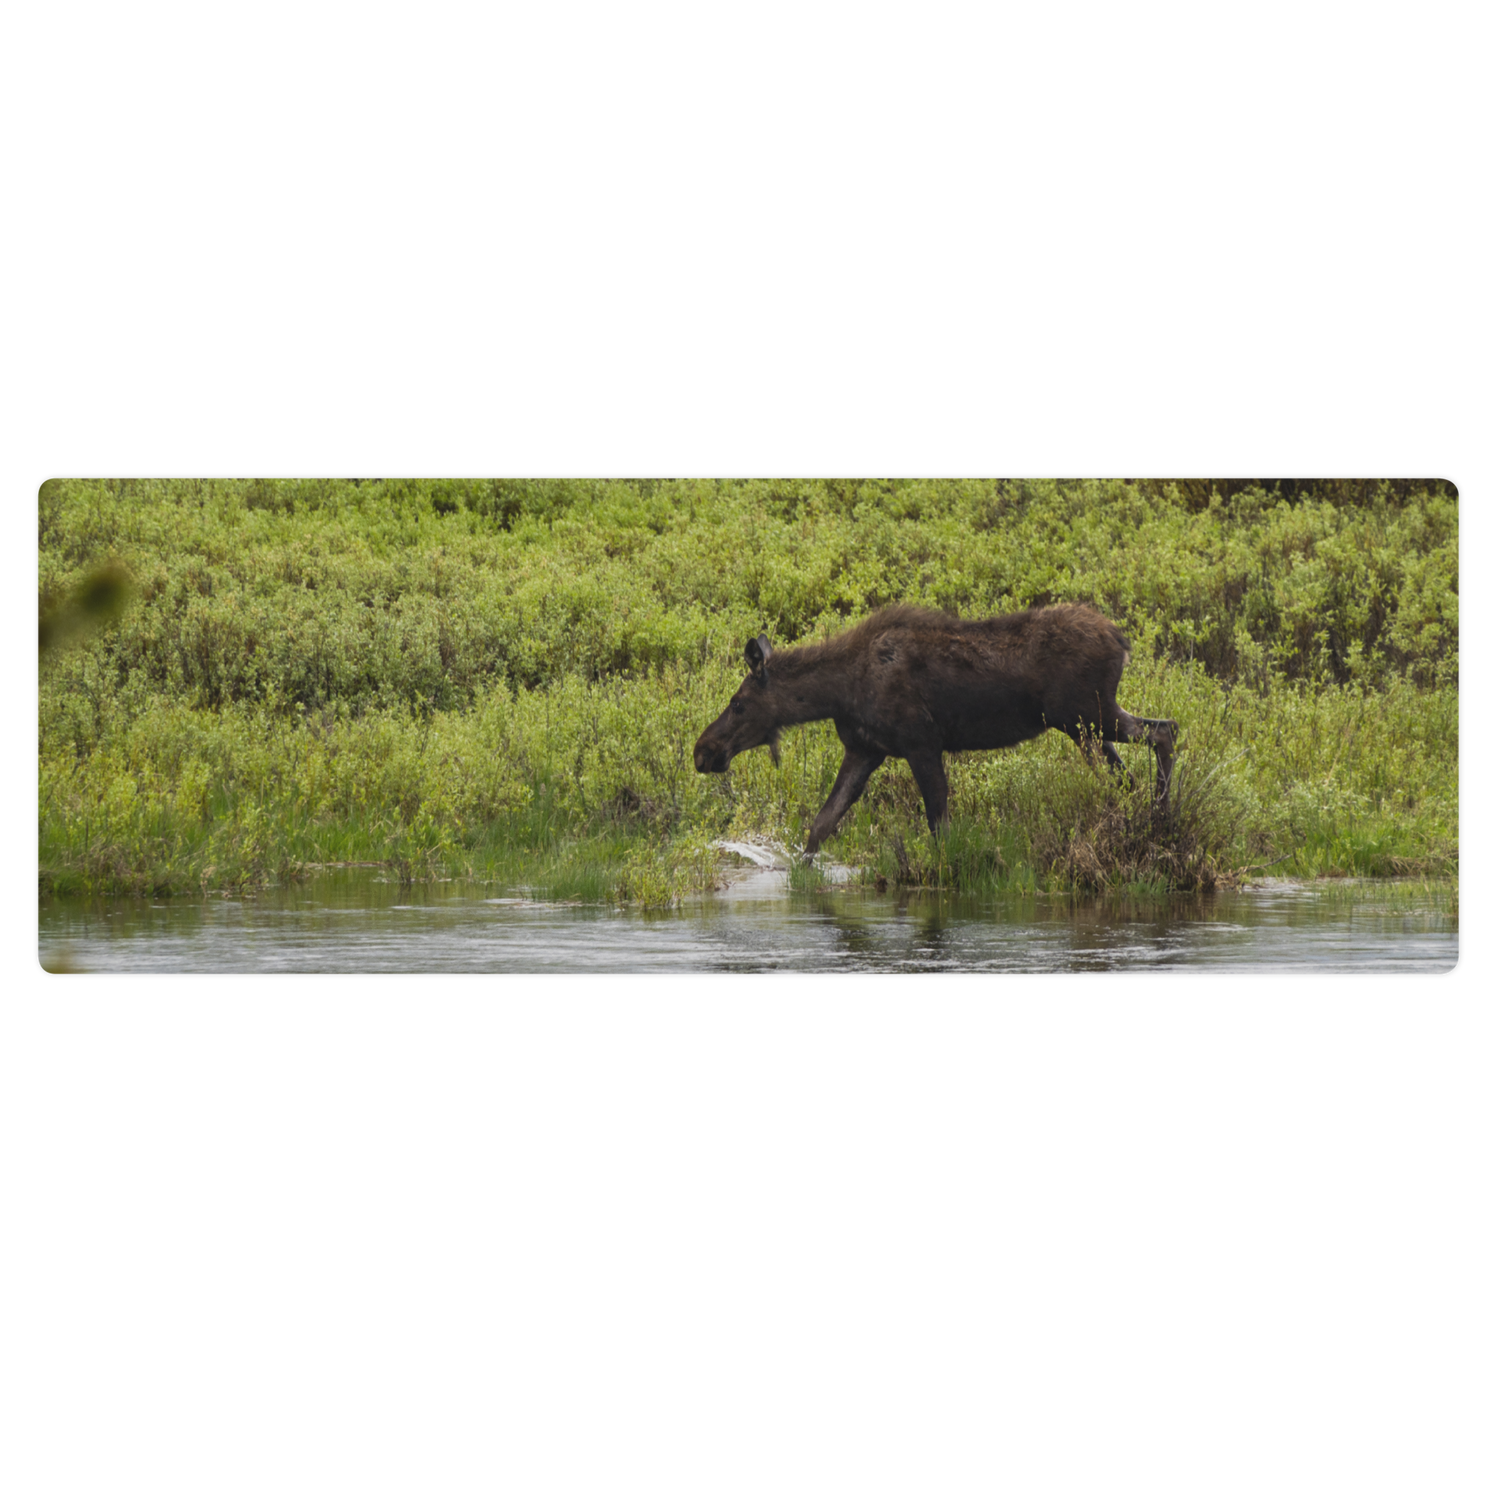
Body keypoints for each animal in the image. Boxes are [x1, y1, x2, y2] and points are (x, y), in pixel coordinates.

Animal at [696, 600, 1176, 858]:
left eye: (738, 704)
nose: (702, 750)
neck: (840, 692)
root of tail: (1122, 640)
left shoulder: (921, 743)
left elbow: (939, 828)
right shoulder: (865, 750)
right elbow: (820, 826)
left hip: (1088, 714)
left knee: (1163, 731)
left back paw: (1162, 819)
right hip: (1085, 726)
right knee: (1132, 770)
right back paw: (1151, 821)